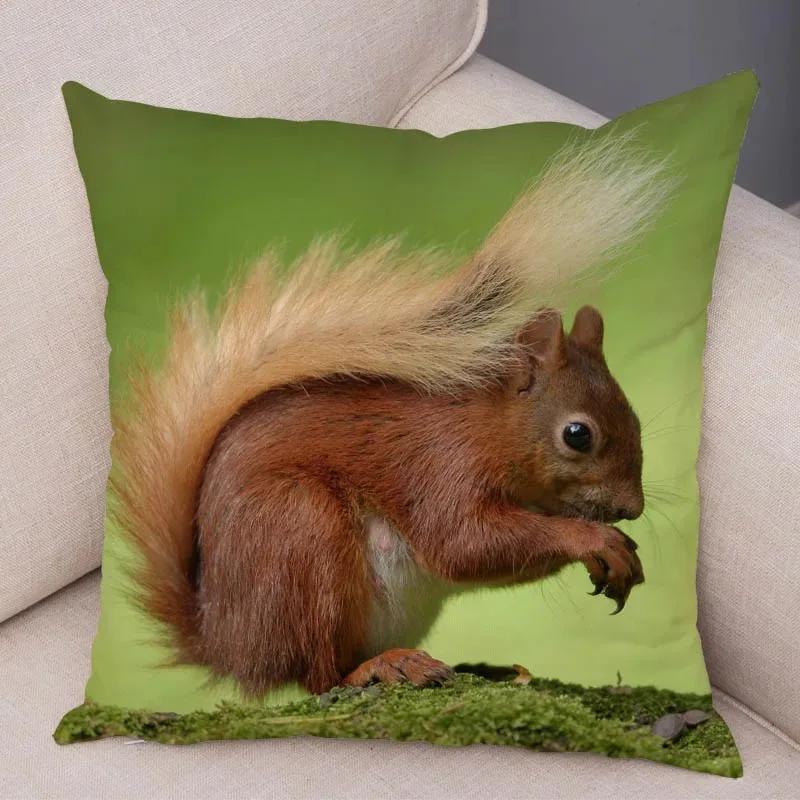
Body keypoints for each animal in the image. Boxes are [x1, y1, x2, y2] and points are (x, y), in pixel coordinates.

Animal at [110, 135, 673, 697]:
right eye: (577, 435)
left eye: (635, 418)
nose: (632, 508)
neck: (487, 428)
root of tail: (227, 644)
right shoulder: (441, 469)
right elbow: (463, 544)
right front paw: (593, 539)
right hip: (302, 534)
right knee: (320, 675)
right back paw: (380, 667)